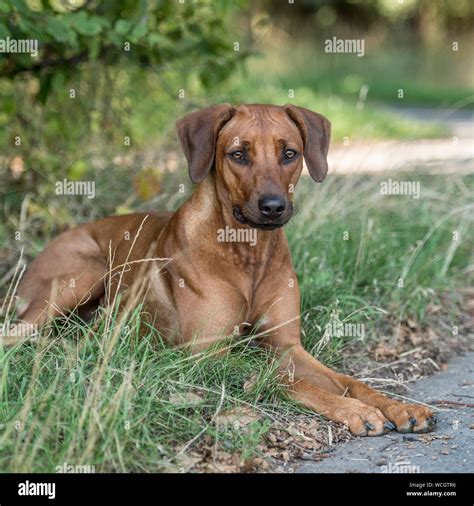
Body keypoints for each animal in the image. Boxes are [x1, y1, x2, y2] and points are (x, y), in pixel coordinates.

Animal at [6, 103, 436, 434]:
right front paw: (355, 411)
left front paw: (395, 404)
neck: (249, 253)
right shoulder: (208, 353)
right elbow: (285, 380)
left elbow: (348, 381)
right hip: (83, 274)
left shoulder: (287, 346)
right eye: (238, 154)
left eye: (290, 153)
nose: (273, 206)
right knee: (18, 333)